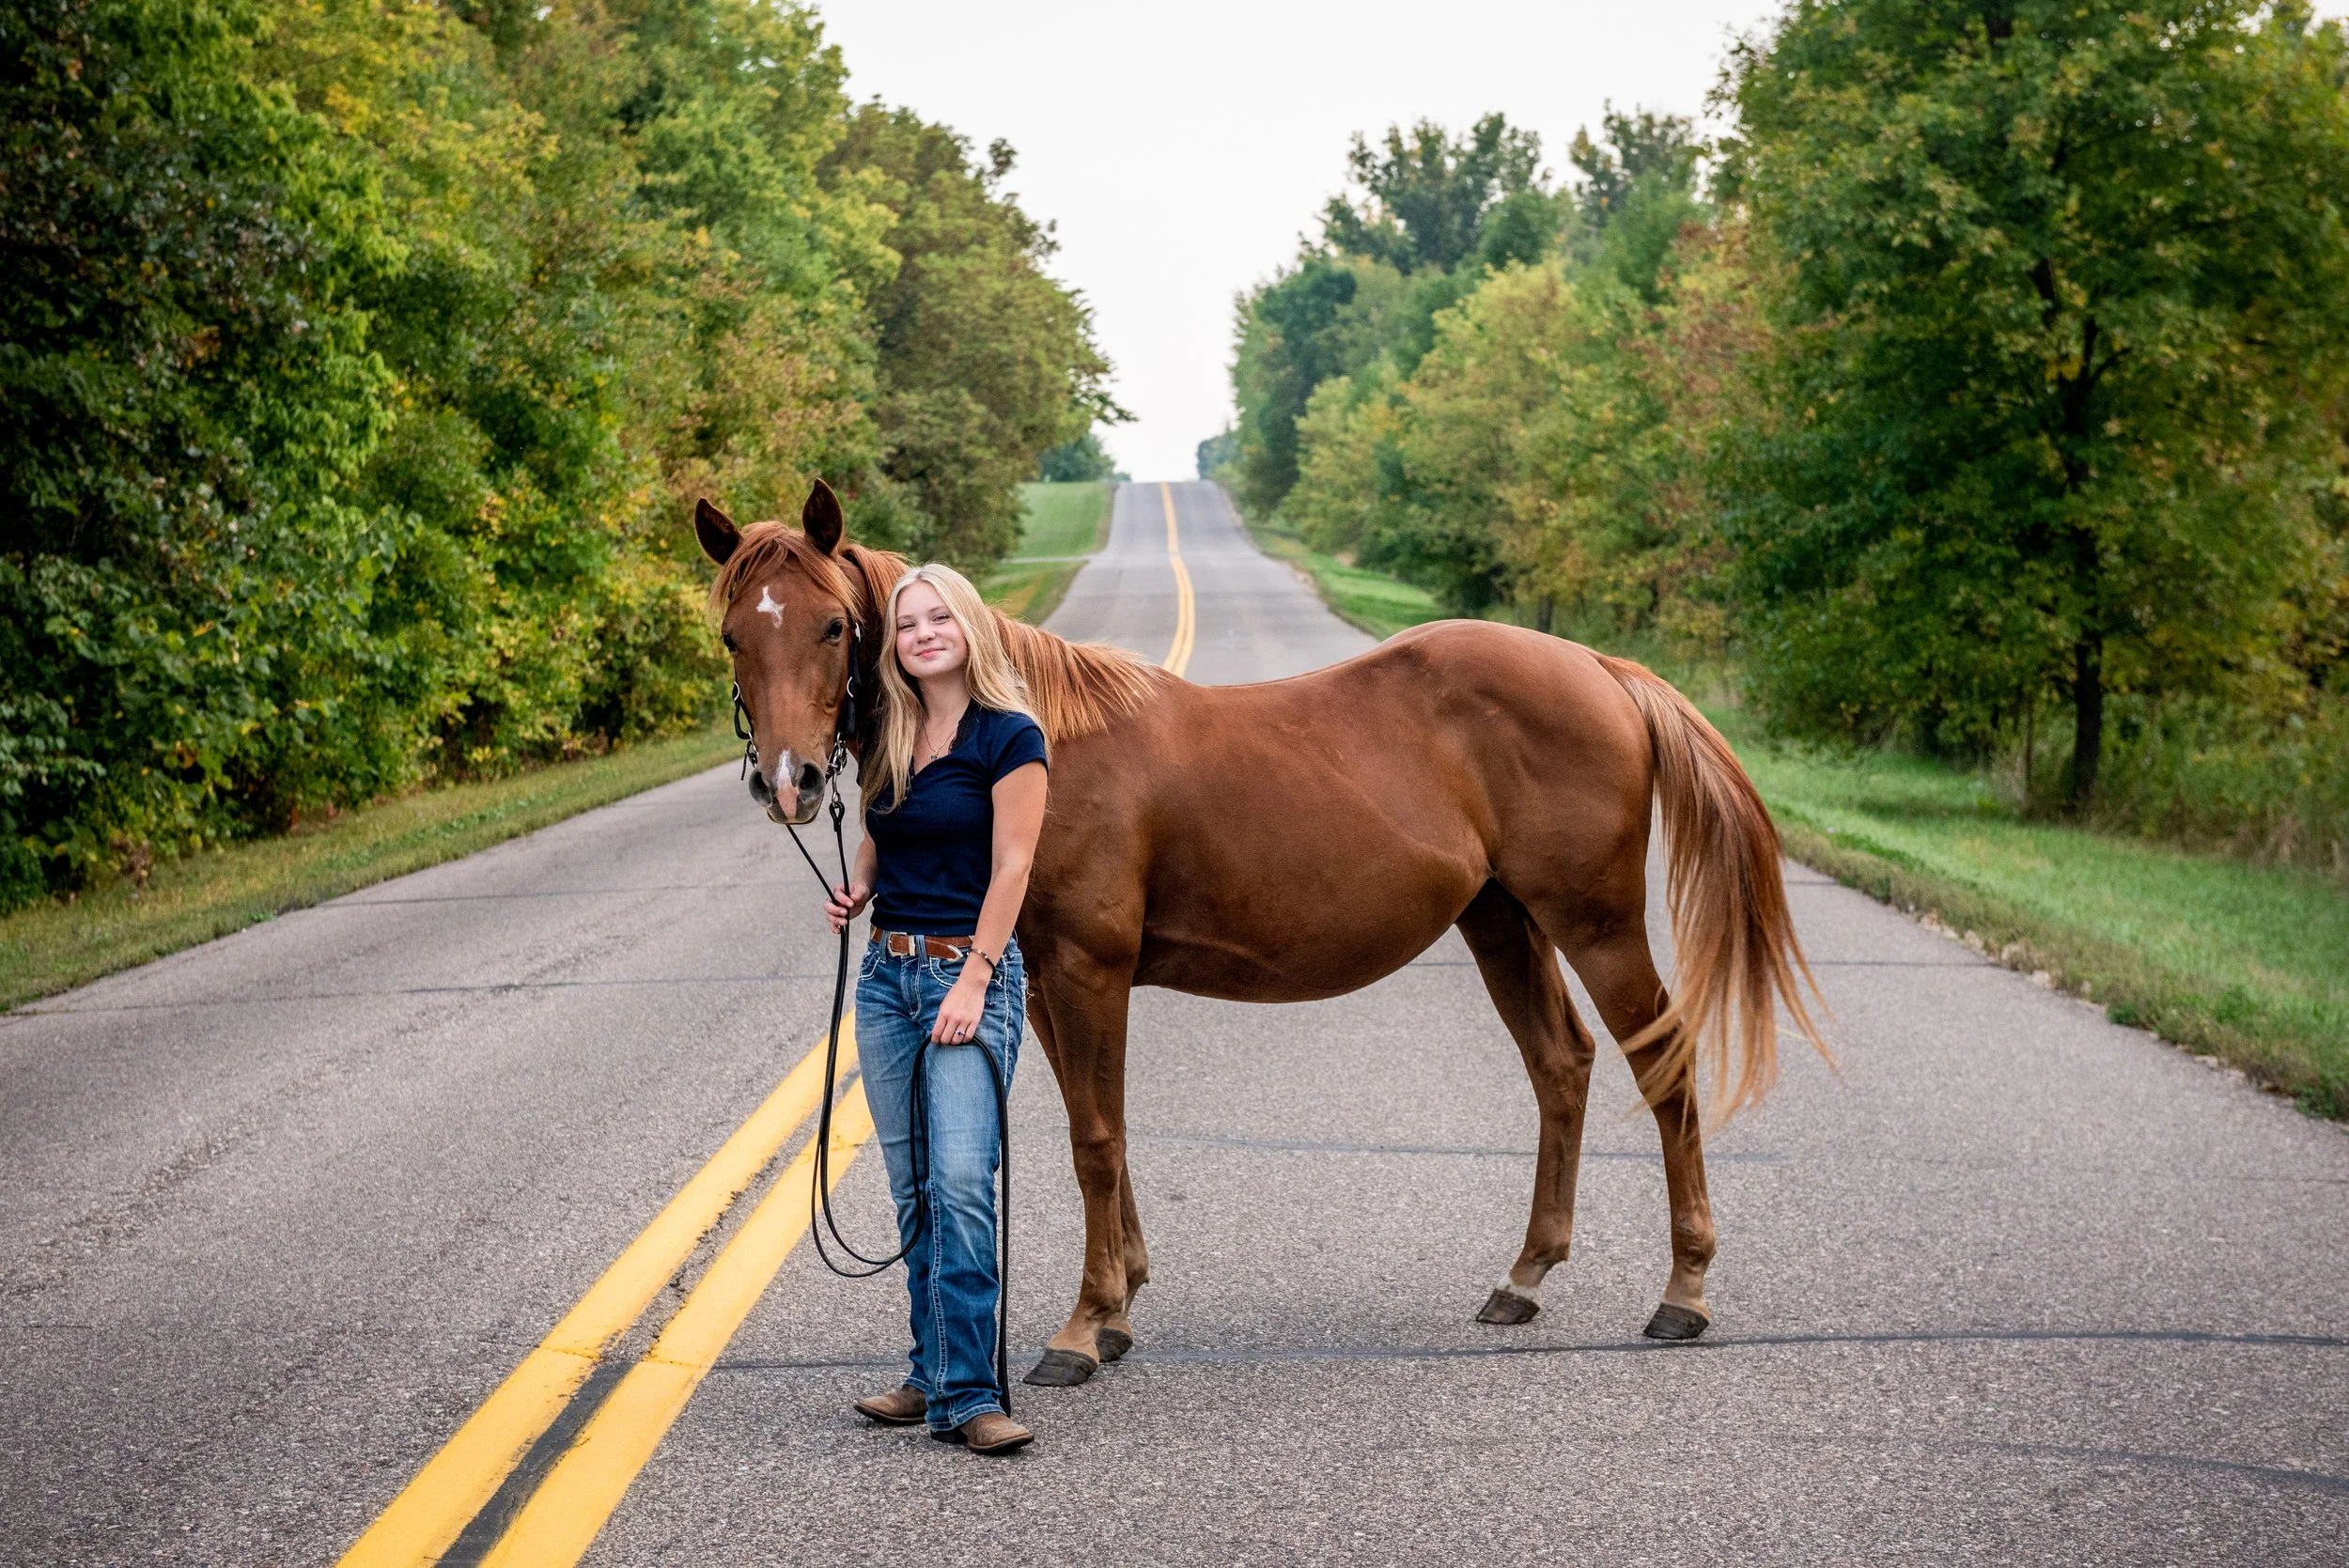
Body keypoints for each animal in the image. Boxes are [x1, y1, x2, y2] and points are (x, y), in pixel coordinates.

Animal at [697, 480, 1827, 1386]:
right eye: (735, 635)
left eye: (832, 626)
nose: (789, 782)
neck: (1039, 740)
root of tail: (1596, 665)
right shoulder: (1045, 979)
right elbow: (1097, 1129)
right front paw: (1119, 1304)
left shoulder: (1087, 970)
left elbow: (1094, 1140)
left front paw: (1081, 1328)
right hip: (1502, 920)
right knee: (1561, 1064)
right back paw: (1523, 1277)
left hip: (1592, 923)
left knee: (1661, 1065)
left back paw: (1683, 1291)